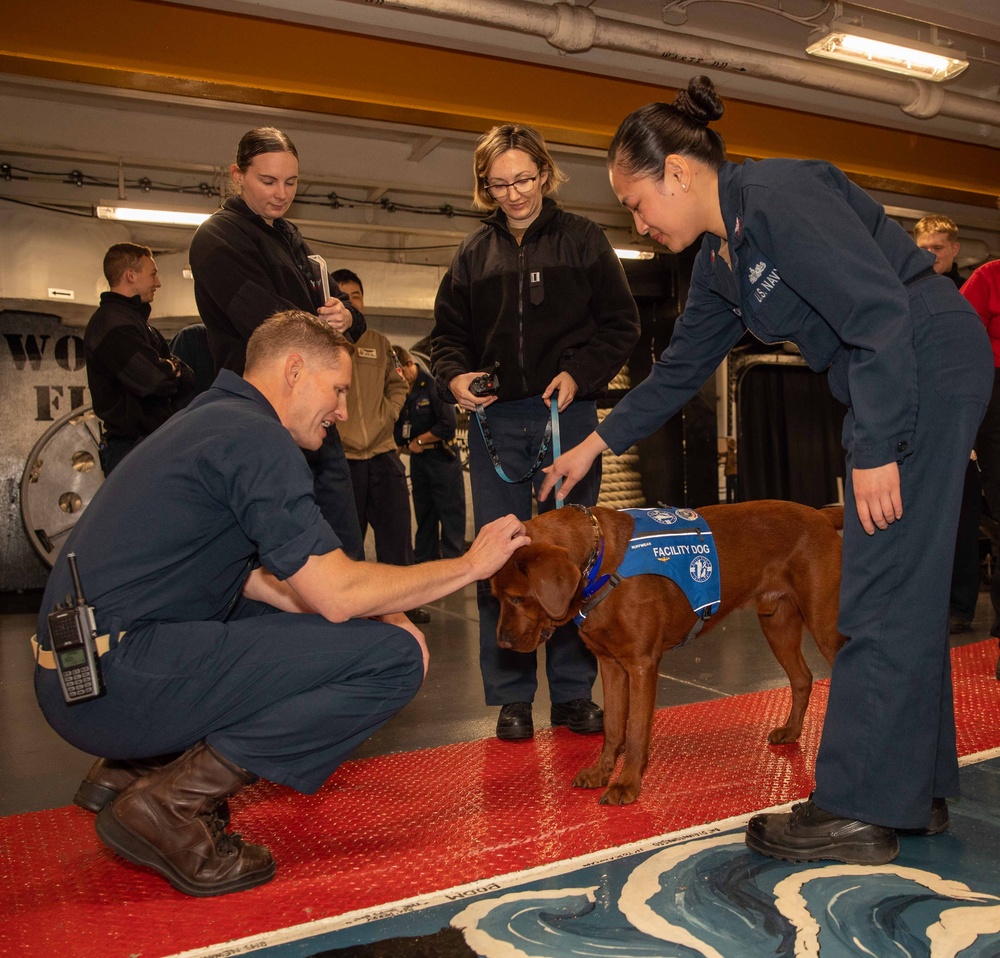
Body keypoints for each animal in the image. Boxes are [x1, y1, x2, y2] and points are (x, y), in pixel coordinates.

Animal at [490, 502, 844, 808]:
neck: (599, 562)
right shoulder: (610, 664)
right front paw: (602, 773)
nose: (502, 644)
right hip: (777, 622)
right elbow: (614, 727)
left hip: (824, 622)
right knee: (803, 678)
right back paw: (792, 731)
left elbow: (635, 732)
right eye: (496, 597)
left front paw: (626, 784)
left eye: (518, 598)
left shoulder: (642, 664)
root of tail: (821, 515)